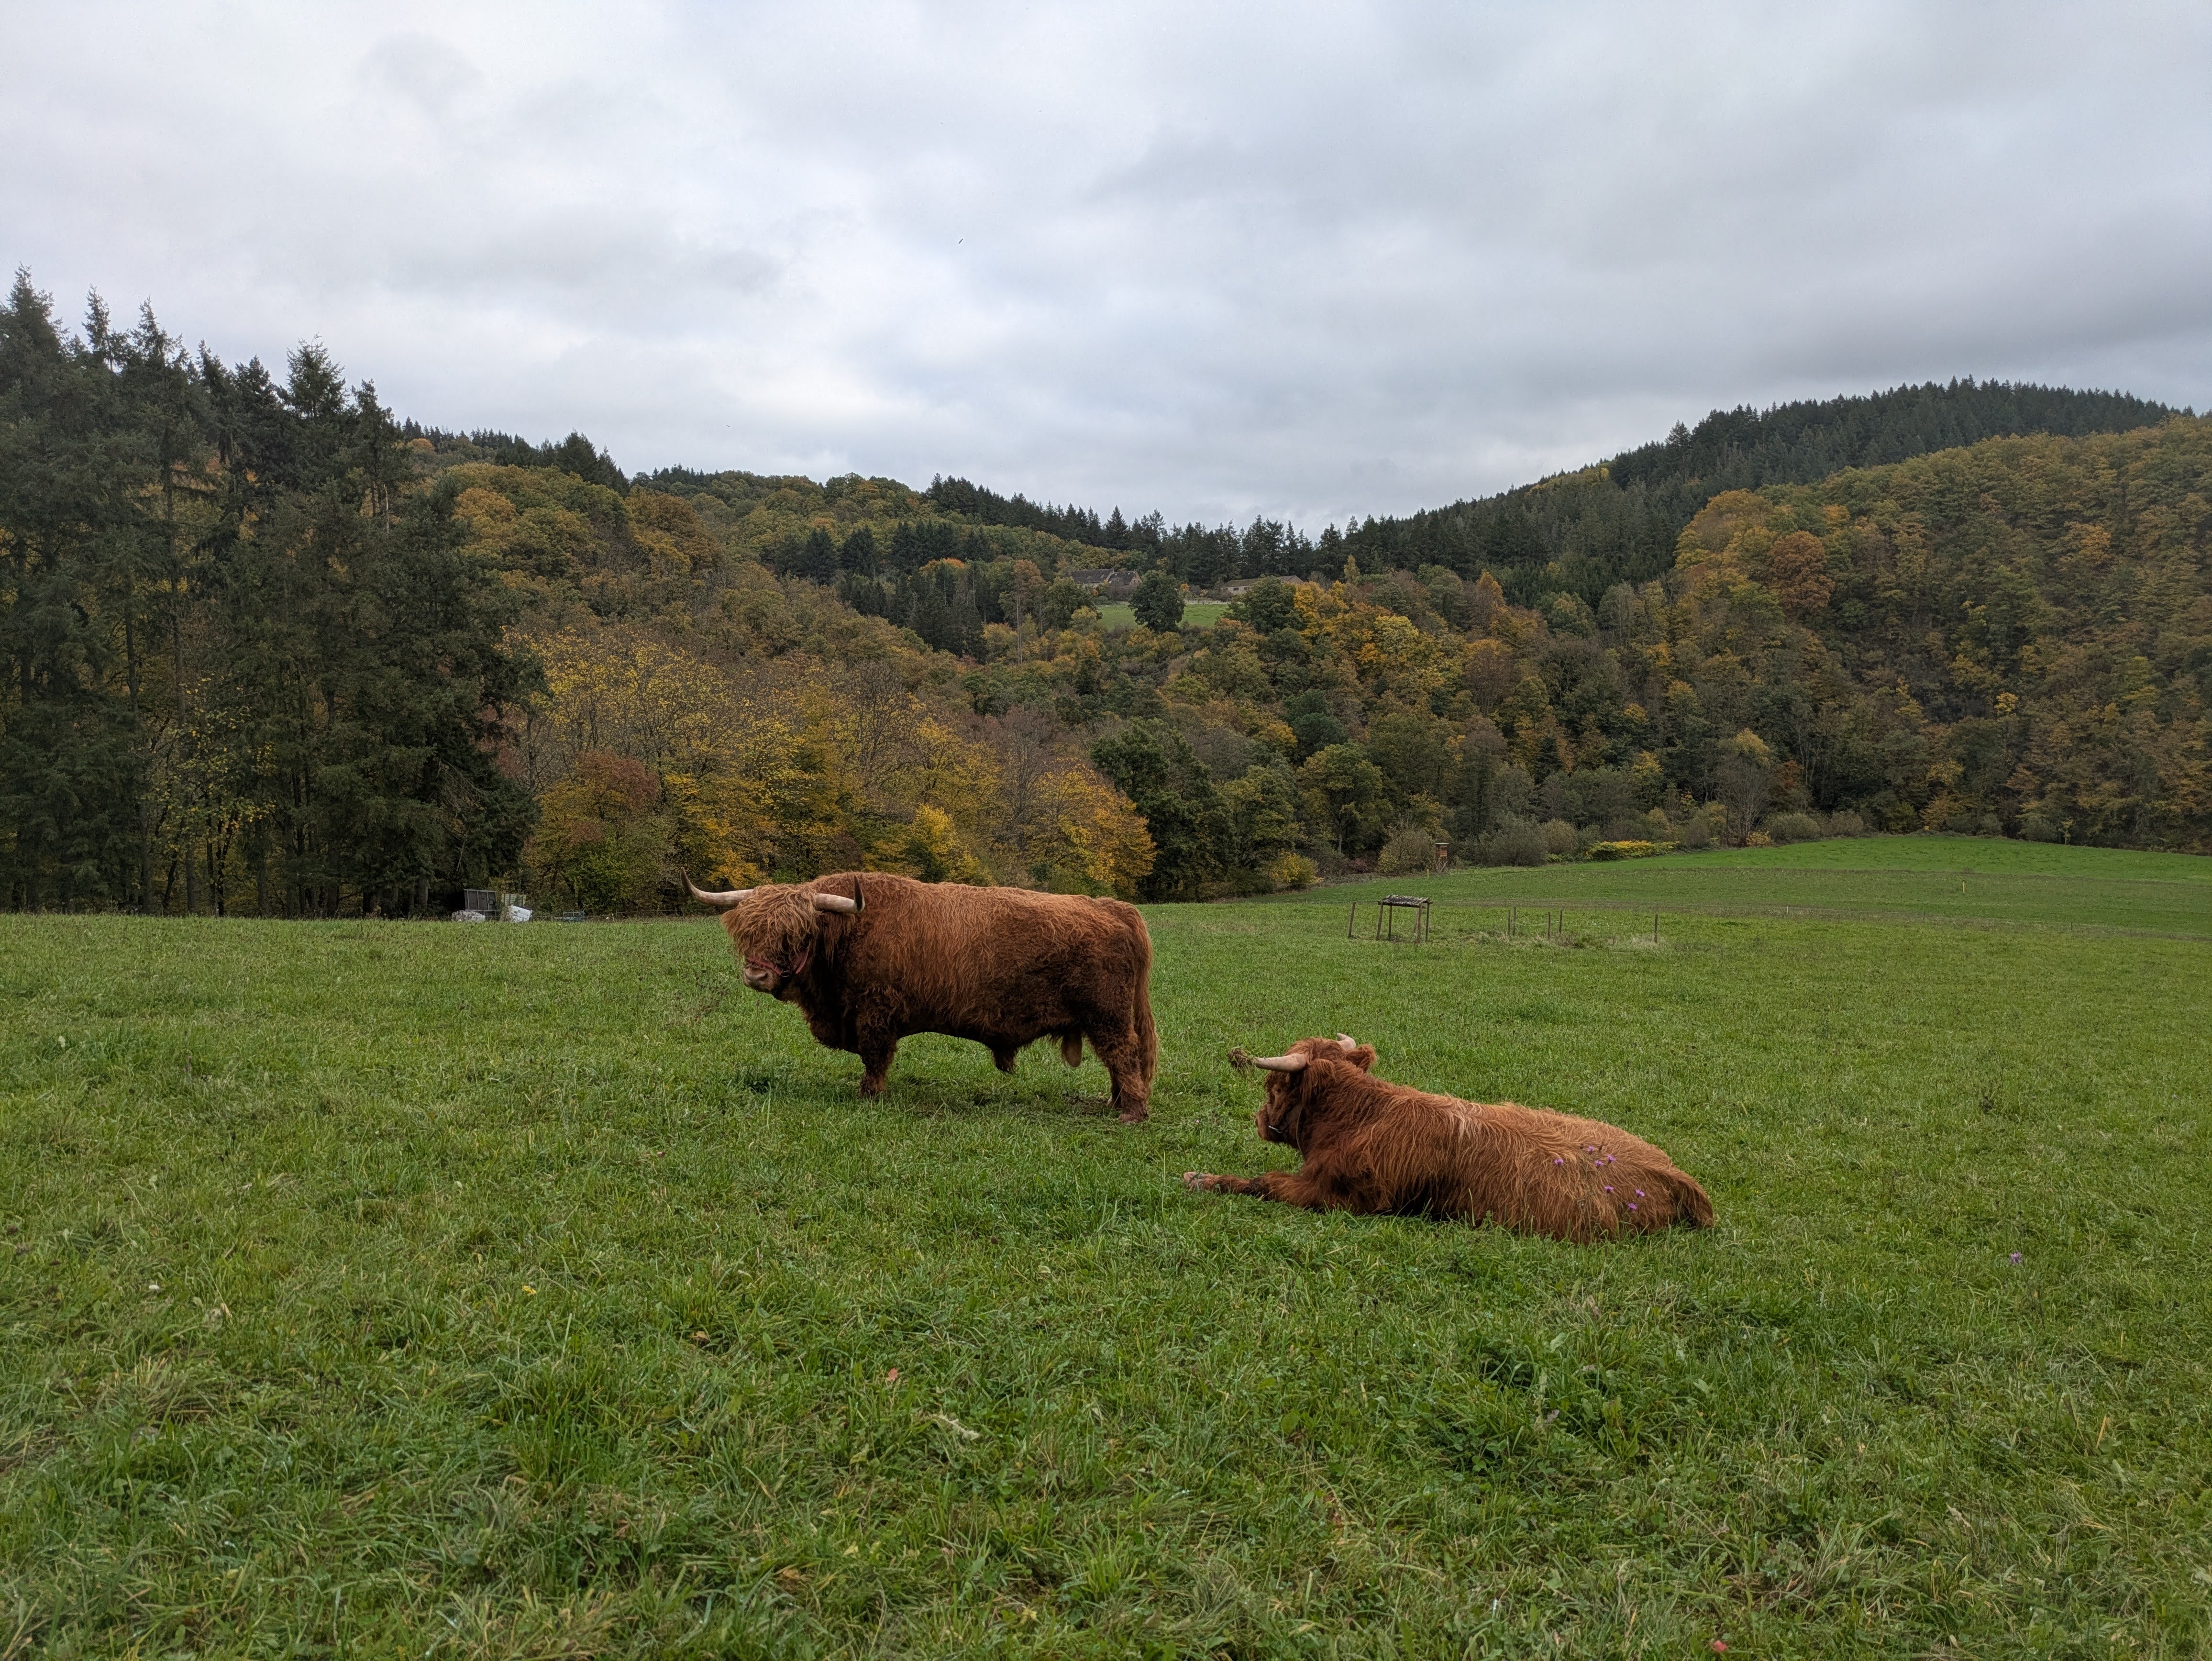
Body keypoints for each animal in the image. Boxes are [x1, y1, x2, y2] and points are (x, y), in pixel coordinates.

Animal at [687, 871, 1158, 1121]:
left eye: (796, 935)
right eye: (750, 933)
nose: (756, 974)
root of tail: (1112, 907)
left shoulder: (875, 1012)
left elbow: (875, 1058)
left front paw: (869, 1095)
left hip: (1107, 1016)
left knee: (1124, 1055)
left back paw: (1131, 1112)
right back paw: (1114, 1102)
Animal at [1183, 1034, 1711, 1240]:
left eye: (1273, 1086)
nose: (1259, 1119)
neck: (1361, 1116)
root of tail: (1675, 1174)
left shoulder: (1343, 1196)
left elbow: (1265, 1182)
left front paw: (1199, 1178)